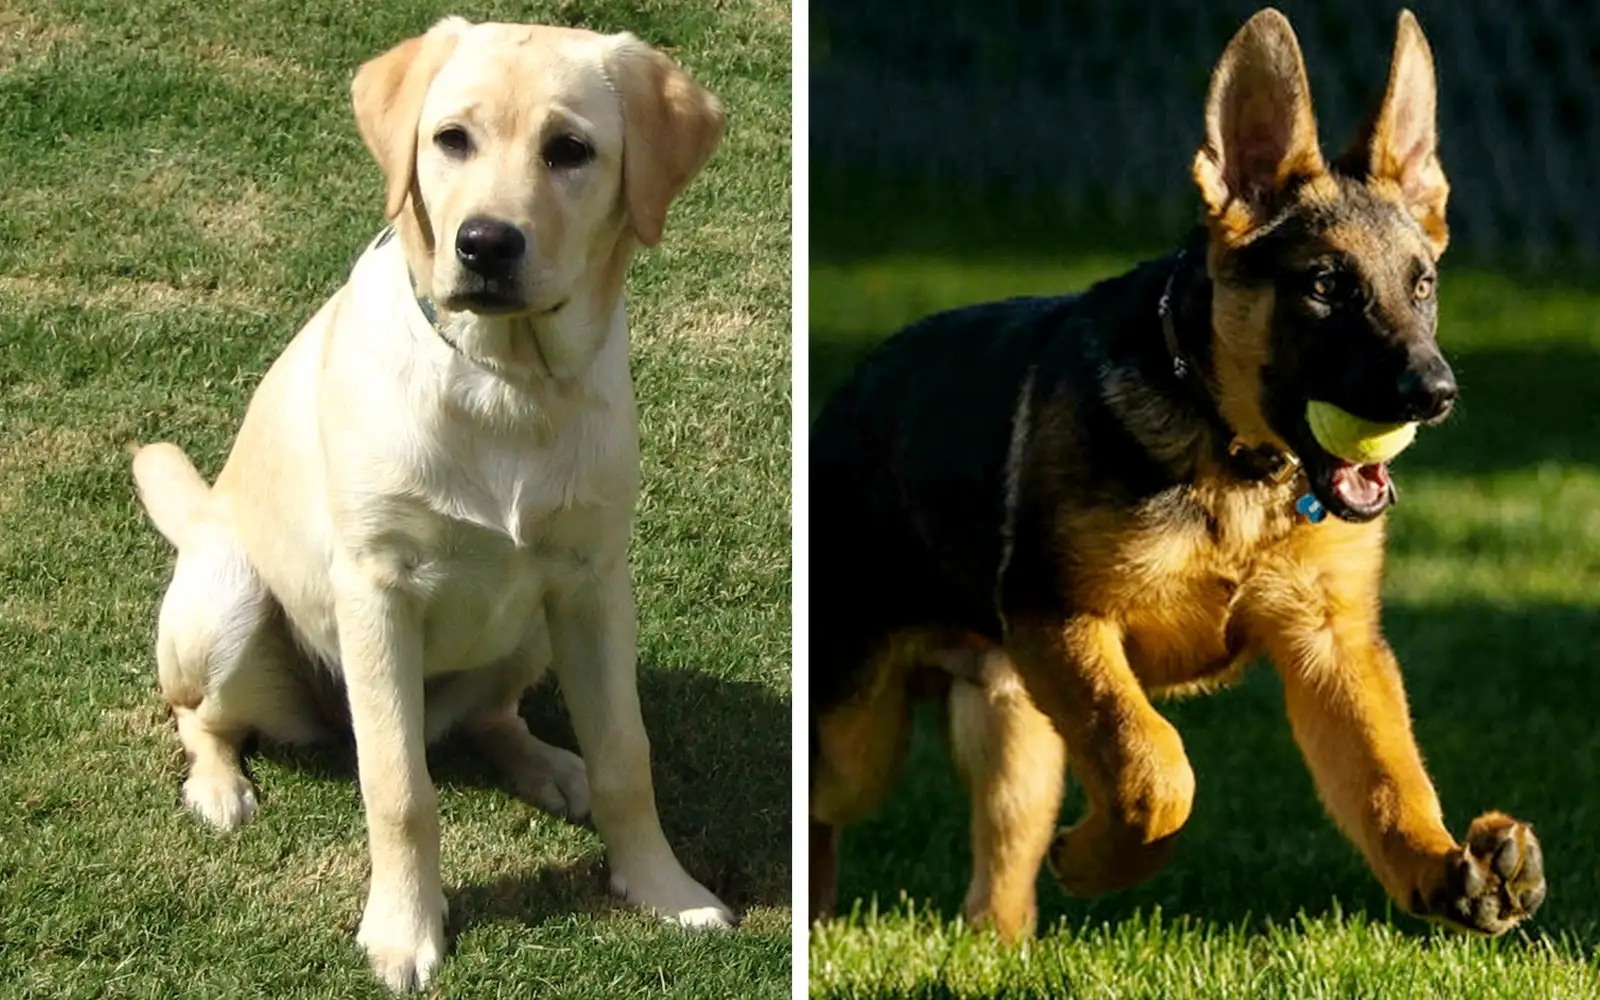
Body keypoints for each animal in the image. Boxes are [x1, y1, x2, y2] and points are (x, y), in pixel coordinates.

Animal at [812, 7, 1548, 940]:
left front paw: (1446, 868)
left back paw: (999, 943)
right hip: (862, 733)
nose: (1436, 393)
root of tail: (847, 397)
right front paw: (1103, 861)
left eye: (1422, 286)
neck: (1234, 462)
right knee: (826, 804)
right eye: (1325, 286)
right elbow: (1156, 764)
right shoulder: (1067, 620)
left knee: (997, 874)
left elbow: (1387, 776)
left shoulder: (1332, 646)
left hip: (1015, 725)